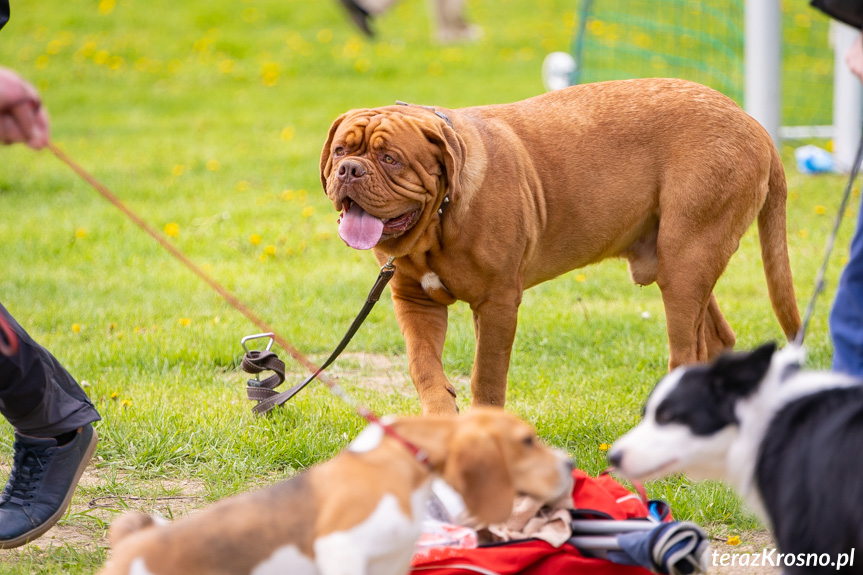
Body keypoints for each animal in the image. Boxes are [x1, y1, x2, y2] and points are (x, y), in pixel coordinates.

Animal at [322, 79, 804, 416]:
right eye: (342, 149)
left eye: (390, 159)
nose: (348, 169)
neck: (438, 219)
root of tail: (756, 126)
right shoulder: (414, 299)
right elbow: (424, 368)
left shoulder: (497, 303)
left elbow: (487, 376)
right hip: (686, 262)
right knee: (717, 338)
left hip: (687, 260)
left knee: (686, 352)